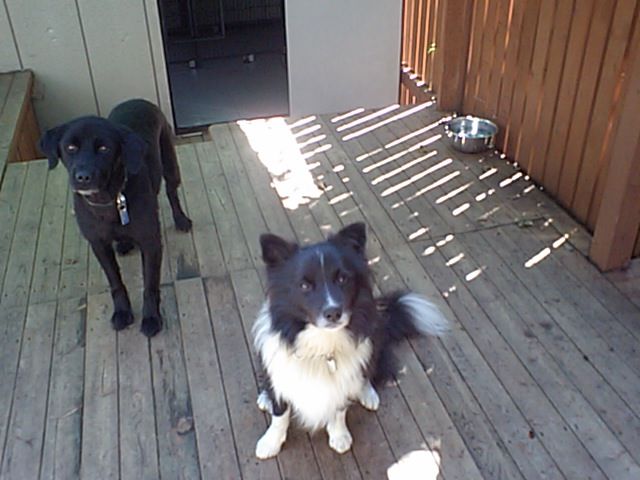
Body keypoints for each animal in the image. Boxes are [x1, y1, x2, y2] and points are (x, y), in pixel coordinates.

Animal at [39, 99, 192, 337]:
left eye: (104, 148)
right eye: (70, 148)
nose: (83, 177)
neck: (108, 200)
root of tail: (138, 100)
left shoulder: (151, 242)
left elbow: (150, 285)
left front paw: (151, 318)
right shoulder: (98, 244)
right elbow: (116, 282)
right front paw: (122, 312)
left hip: (170, 164)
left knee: (171, 192)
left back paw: (181, 220)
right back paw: (124, 244)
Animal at [253, 222, 449, 458]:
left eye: (342, 279)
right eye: (304, 285)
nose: (333, 313)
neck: (322, 343)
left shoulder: (343, 380)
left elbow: (339, 408)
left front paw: (339, 436)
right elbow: (280, 413)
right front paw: (270, 441)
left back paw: (367, 393)